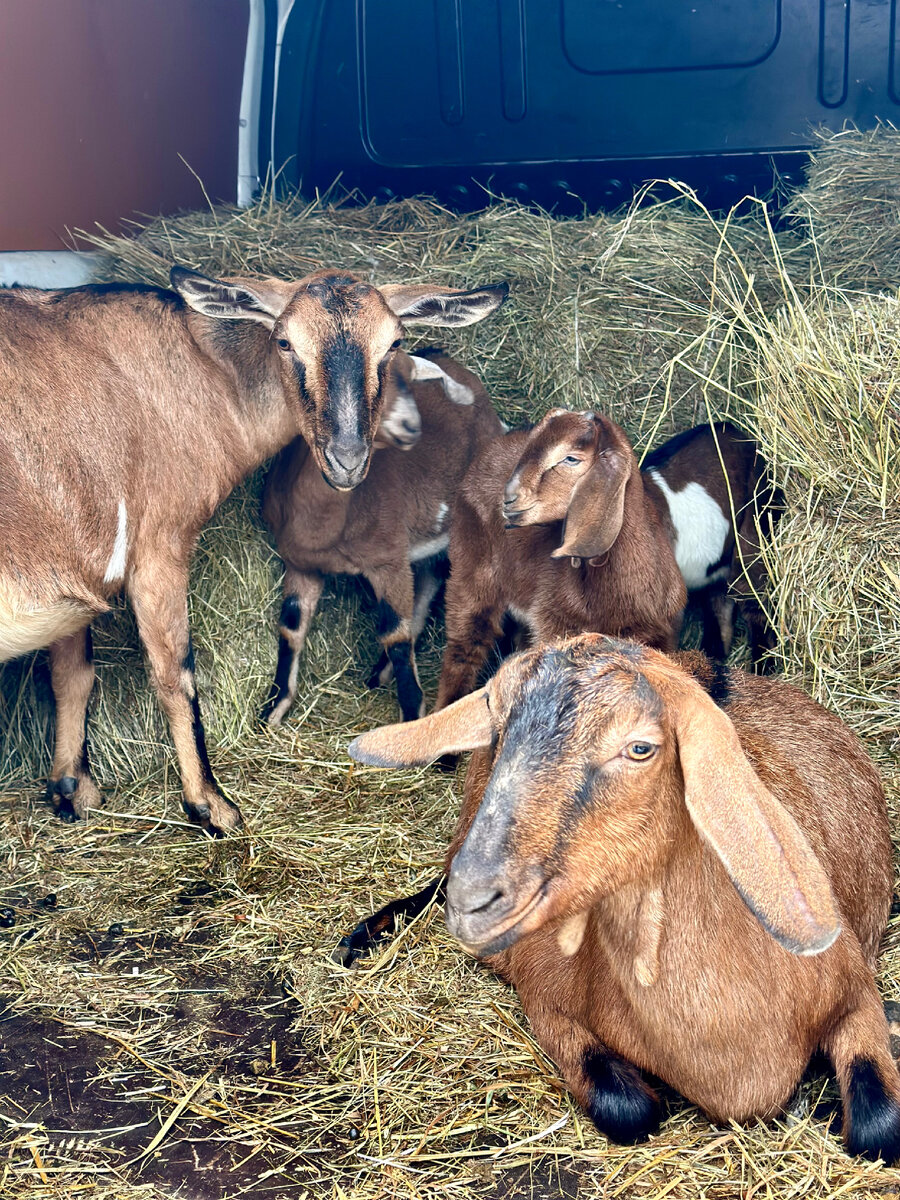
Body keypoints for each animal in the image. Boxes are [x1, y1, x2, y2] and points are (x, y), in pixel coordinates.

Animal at [348, 638, 900, 1161]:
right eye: (500, 726)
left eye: (639, 748)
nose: (476, 896)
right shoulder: (542, 990)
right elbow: (630, 1109)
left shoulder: (854, 986)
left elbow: (879, 1126)